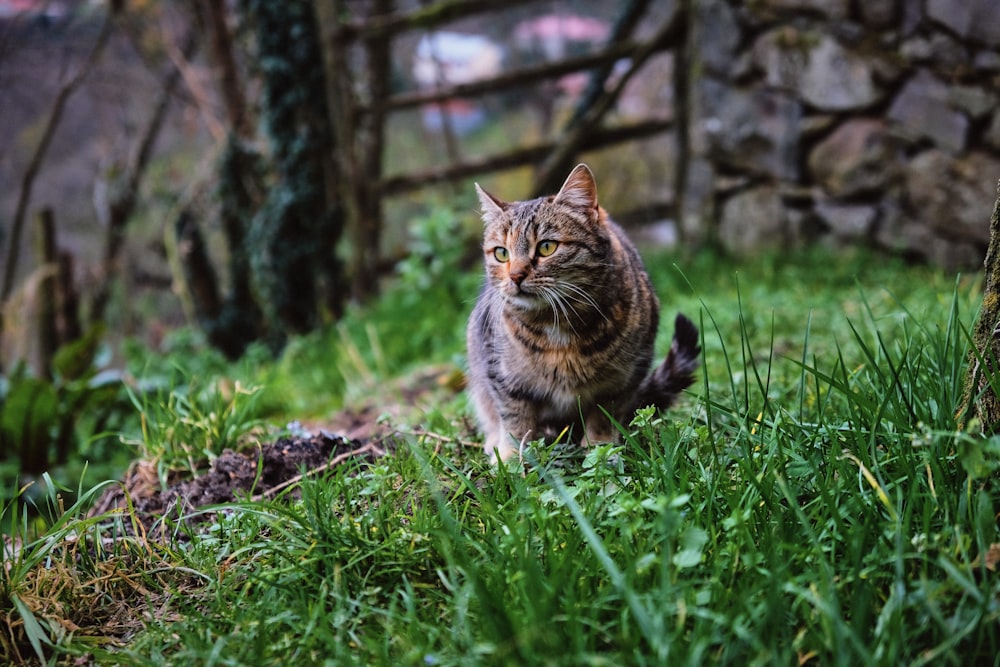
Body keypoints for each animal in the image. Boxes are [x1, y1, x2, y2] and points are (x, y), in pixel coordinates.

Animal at [464, 164, 700, 462]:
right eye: (501, 253)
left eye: (546, 247)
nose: (515, 275)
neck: (557, 324)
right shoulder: (501, 374)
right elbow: (515, 418)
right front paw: (511, 457)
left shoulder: (623, 378)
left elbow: (604, 414)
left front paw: (600, 447)